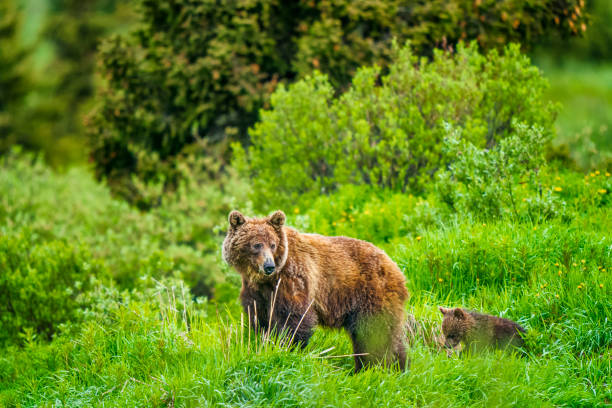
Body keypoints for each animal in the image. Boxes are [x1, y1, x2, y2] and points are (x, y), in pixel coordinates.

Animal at [222, 210, 408, 372]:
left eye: (273, 245)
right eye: (256, 245)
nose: (269, 266)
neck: (266, 280)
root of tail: (396, 267)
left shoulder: (293, 280)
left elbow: (295, 317)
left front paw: (288, 348)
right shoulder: (256, 292)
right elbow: (260, 319)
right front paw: (263, 343)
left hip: (371, 294)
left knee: (373, 335)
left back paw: (370, 367)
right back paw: (399, 367)